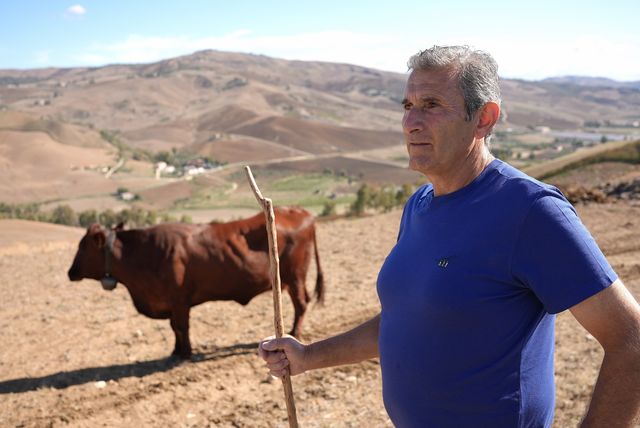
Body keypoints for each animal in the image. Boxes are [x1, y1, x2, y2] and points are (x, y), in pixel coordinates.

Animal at [67, 207, 324, 359]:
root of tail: (300, 212)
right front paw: (175, 351)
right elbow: (174, 328)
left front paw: (186, 353)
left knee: (301, 304)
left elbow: (181, 327)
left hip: (295, 276)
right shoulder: (171, 303)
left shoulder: (179, 300)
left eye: (83, 246)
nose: (70, 272)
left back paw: (294, 333)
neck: (144, 253)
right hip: (290, 281)